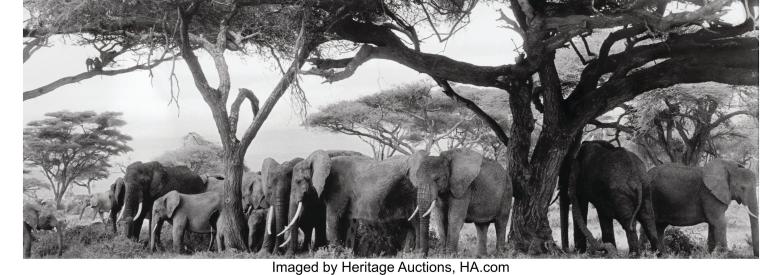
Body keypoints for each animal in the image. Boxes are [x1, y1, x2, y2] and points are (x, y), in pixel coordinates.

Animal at [290, 151, 422, 256]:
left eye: (298, 181)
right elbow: (345, 221)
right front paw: (346, 253)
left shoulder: (337, 188)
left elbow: (334, 218)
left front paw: (336, 254)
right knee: (409, 225)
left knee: (415, 223)